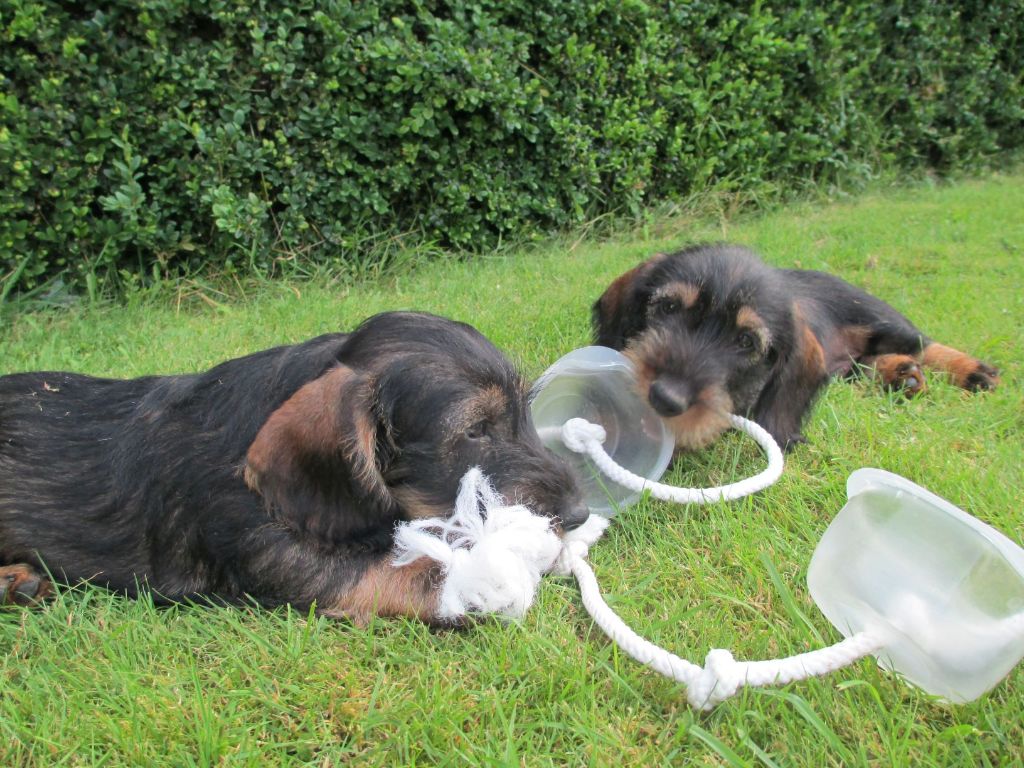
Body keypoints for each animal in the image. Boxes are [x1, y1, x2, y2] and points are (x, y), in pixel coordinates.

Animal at [593, 244, 999, 450]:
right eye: (668, 307)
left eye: (745, 341)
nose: (664, 398)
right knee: (866, 364)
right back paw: (900, 374)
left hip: (884, 321)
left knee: (926, 345)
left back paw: (973, 371)